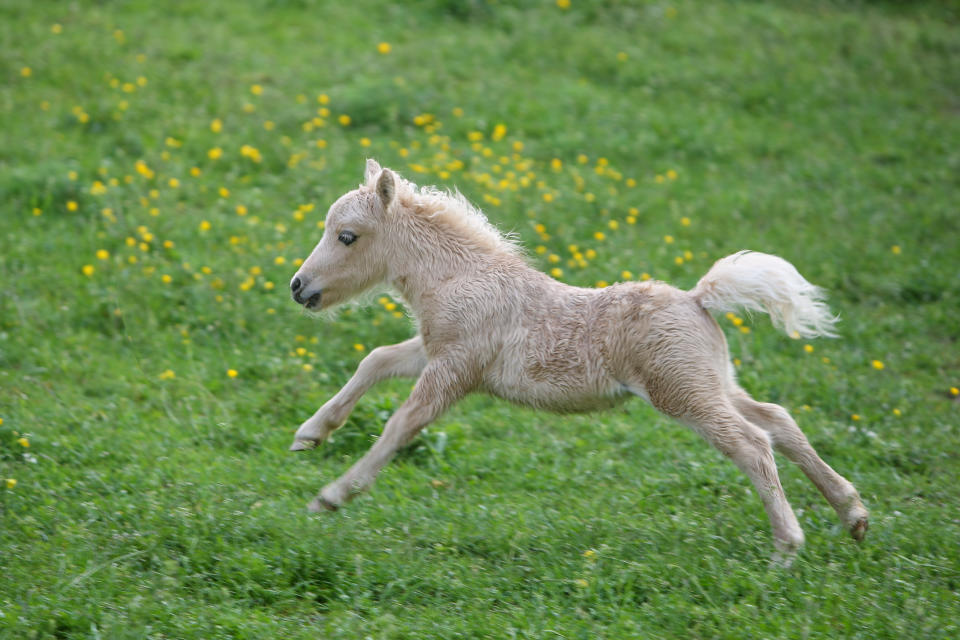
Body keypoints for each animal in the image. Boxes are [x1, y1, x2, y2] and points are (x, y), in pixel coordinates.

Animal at [288, 161, 868, 564]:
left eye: (347, 236)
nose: (298, 287)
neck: (460, 279)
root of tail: (698, 299)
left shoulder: (456, 368)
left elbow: (401, 424)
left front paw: (332, 496)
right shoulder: (437, 350)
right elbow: (375, 360)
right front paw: (310, 433)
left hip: (682, 392)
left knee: (752, 443)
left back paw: (786, 549)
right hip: (712, 381)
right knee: (778, 420)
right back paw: (854, 514)